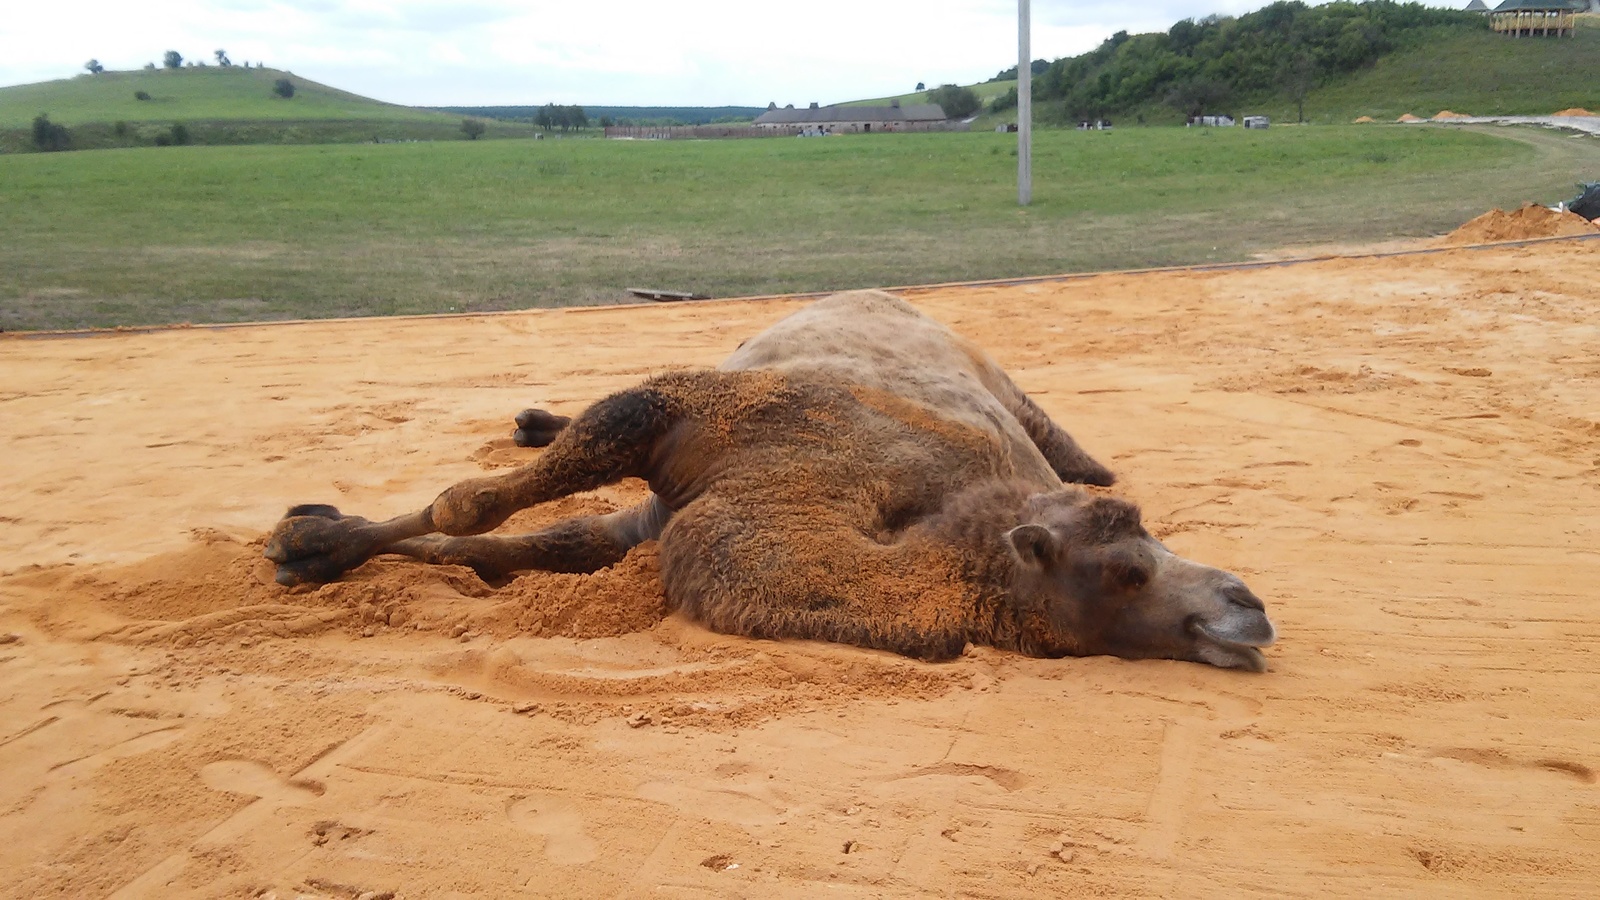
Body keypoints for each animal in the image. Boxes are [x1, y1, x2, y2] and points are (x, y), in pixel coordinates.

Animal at [268, 291, 1280, 669]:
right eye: (1125, 570)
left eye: (1149, 536)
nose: (1249, 605)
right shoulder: (685, 417)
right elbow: (473, 505)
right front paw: (306, 538)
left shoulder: (655, 517)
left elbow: (529, 545)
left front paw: (319, 546)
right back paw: (528, 422)